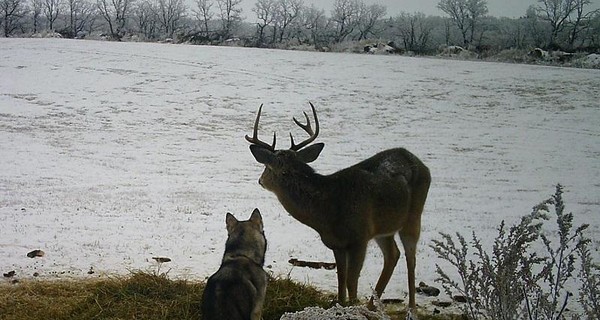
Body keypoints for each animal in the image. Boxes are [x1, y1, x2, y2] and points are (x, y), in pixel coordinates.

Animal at [245, 102, 432, 310]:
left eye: (267, 167)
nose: (260, 180)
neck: (329, 210)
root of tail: (418, 161)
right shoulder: (337, 244)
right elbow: (341, 278)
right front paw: (342, 305)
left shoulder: (360, 237)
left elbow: (352, 280)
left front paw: (353, 307)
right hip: (385, 228)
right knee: (393, 255)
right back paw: (371, 305)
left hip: (414, 215)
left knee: (410, 257)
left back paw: (411, 307)